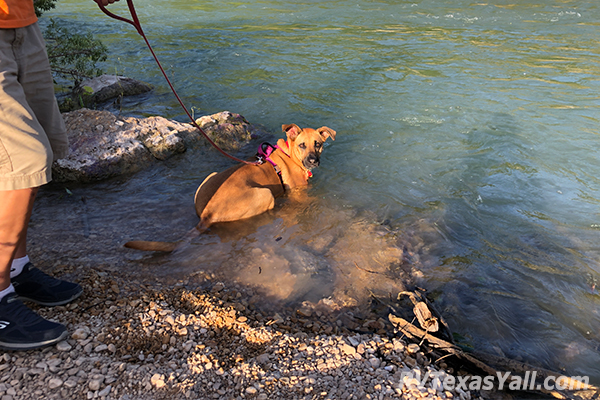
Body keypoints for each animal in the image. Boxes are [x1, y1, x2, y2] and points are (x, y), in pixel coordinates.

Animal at [123, 123, 336, 252]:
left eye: (318, 144)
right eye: (302, 145)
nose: (313, 161)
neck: (289, 155)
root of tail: (207, 215)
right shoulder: (299, 194)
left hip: (211, 176)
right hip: (266, 194)